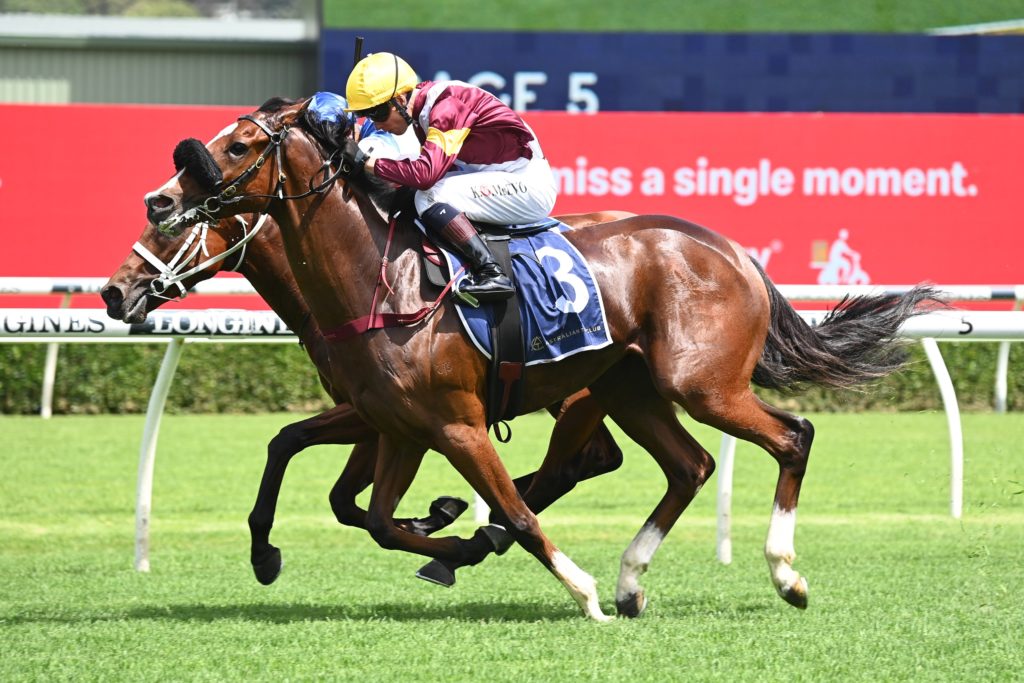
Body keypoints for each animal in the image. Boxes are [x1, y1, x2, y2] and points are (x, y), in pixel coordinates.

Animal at [102, 210, 631, 586]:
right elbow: (308, 462)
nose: (113, 292)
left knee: (572, 465)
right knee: (595, 459)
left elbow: (325, 477)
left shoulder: (385, 413)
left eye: (170, 229)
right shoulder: (376, 413)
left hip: (575, 390)